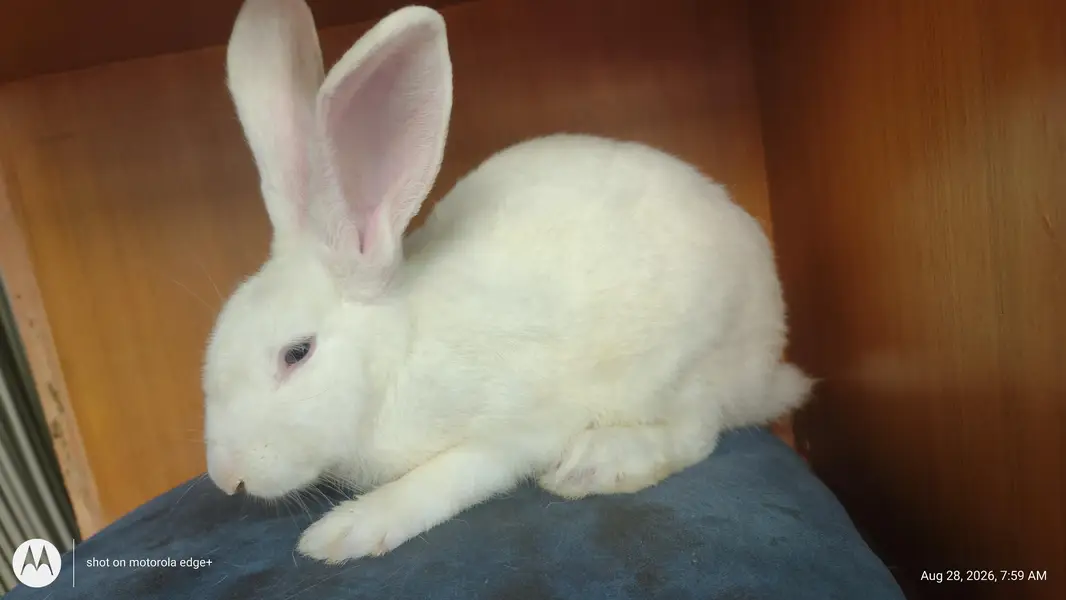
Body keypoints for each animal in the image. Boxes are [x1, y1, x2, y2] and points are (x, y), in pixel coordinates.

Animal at [202, 0, 814, 565]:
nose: (226, 478)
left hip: (687, 367)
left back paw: (597, 464)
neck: (400, 354)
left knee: (697, 432)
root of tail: (767, 368)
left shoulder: (513, 429)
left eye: (296, 354)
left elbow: (448, 478)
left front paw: (349, 529)